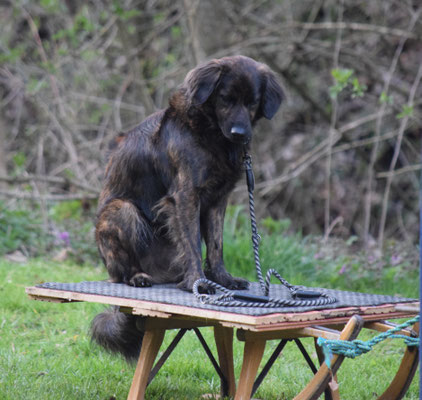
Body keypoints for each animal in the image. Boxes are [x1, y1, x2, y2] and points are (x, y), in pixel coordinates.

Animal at [92, 55, 284, 360]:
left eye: (252, 102)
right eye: (226, 98)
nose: (240, 133)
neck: (210, 133)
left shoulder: (218, 200)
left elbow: (216, 246)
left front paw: (222, 279)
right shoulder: (185, 196)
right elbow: (193, 245)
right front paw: (199, 281)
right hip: (122, 210)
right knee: (120, 272)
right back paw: (137, 277)